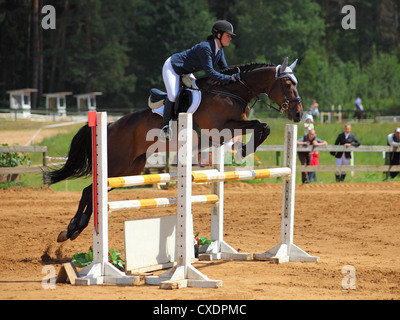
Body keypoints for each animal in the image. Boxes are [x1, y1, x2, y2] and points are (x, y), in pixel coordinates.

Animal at [47, 57, 304, 242]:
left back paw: (73, 231)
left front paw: (245, 149)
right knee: (89, 190)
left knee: (94, 192)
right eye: (288, 84)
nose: (298, 114)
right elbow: (260, 124)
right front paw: (244, 149)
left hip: (128, 170)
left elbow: (262, 126)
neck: (231, 92)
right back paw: (71, 228)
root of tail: (110, 125)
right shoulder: (220, 127)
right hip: (116, 166)